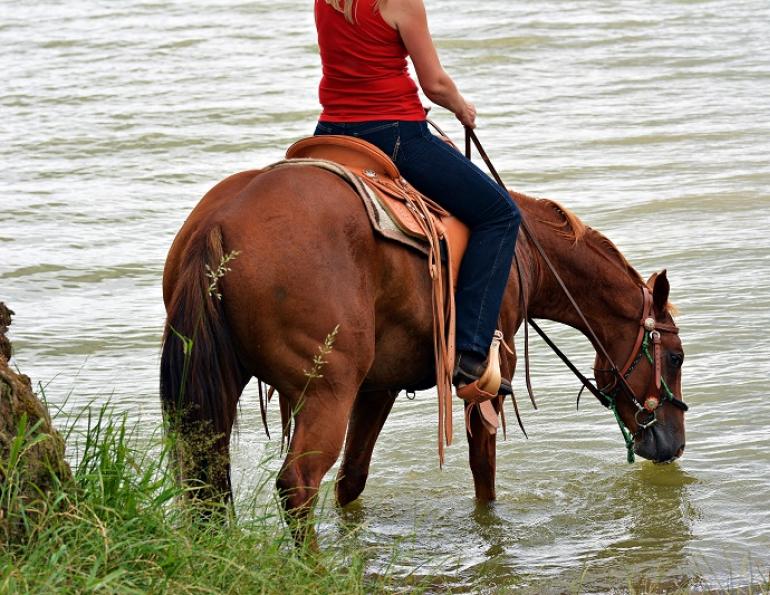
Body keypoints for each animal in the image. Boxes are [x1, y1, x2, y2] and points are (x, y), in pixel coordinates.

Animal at [160, 163, 687, 536]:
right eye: (677, 357)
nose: (674, 443)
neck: (525, 255)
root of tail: (219, 223)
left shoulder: (379, 387)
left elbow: (353, 478)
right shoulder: (487, 385)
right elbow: (484, 472)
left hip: (217, 390)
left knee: (208, 479)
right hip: (326, 391)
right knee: (298, 483)